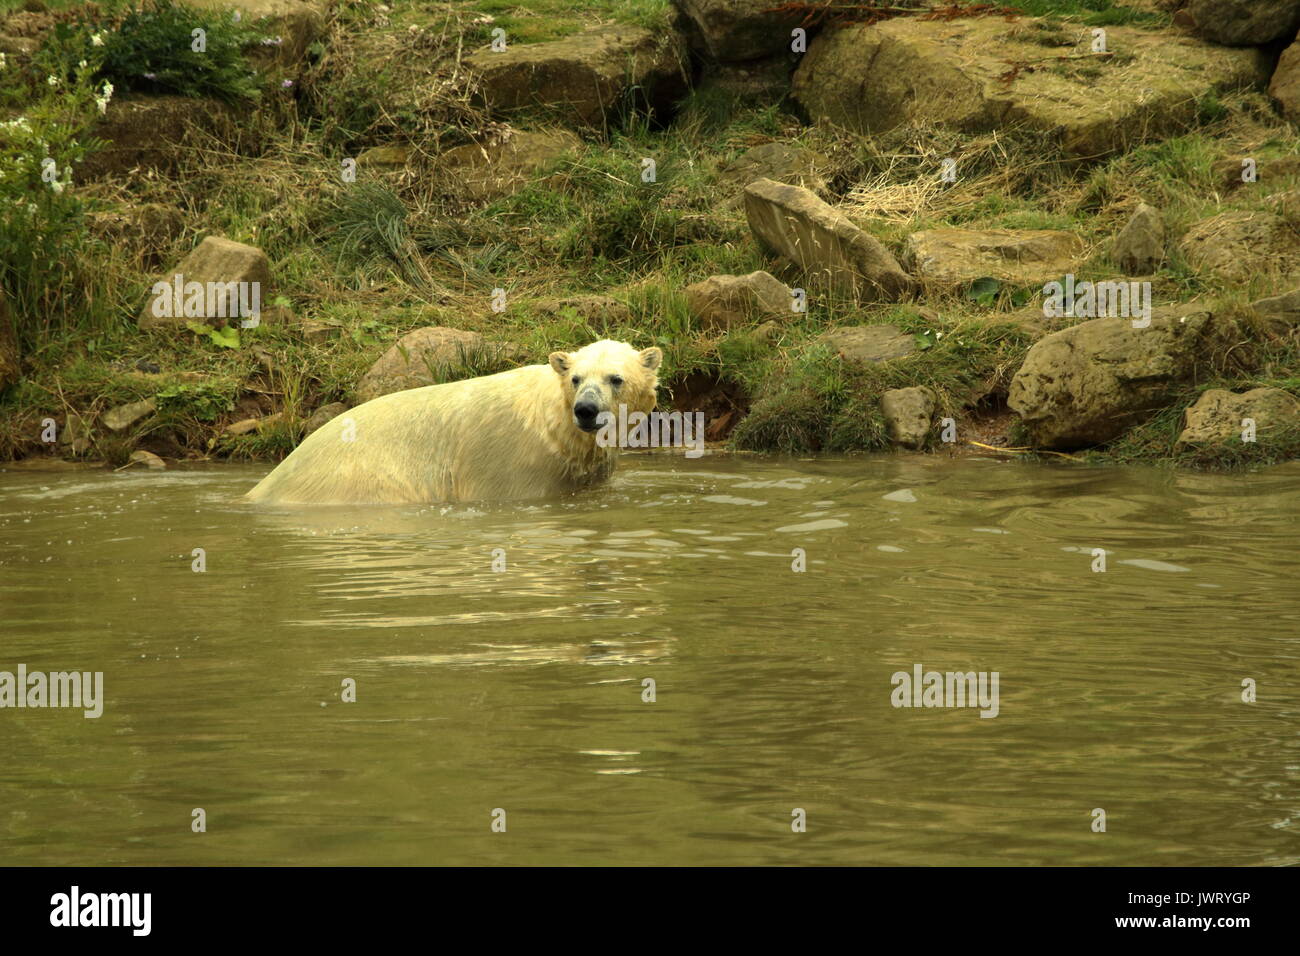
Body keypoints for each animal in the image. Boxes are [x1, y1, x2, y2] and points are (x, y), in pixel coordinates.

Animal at [244, 339, 663, 505]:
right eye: (576, 378)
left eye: (616, 378)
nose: (586, 410)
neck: (554, 426)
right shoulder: (513, 469)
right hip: (361, 480)